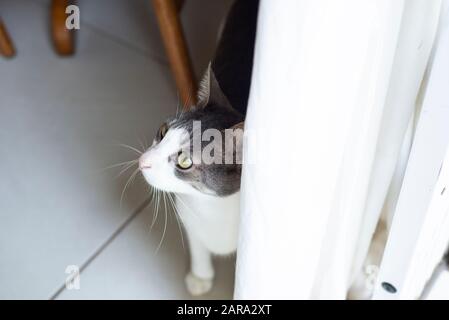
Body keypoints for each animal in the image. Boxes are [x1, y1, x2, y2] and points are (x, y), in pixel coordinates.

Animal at [140, 0, 260, 296]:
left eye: (184, 161)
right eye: (162, 132)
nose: (142, 161)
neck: (213, 207)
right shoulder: (190, 219)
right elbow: (197, 245)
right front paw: (200, 277)